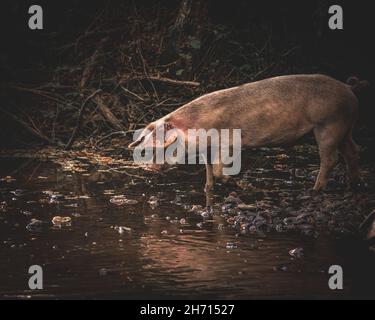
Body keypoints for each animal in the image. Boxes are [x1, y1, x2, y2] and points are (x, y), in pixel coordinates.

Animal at [129, 74, 368, 206]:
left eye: (161, 146)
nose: (147, 168)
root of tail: (348, 88)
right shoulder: (207, 148)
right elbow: (208, 171)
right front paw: (208, 189)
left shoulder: (227, 143)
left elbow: (218, 169)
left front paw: (239, 184)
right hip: (345, 127)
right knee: (353, 151)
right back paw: (352, 184)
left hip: (329, 125)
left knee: (331, 158)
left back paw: (315, 190)